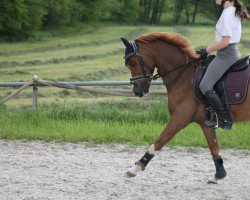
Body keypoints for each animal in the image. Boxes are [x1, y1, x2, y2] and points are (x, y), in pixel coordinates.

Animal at [120, 32, 249, 184]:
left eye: (133, 63)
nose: (137, 91)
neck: (182, 75)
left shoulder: (179, 119)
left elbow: (158, 142)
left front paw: (135, 168)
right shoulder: (206, 123)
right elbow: (214, 148)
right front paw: (219, 174)